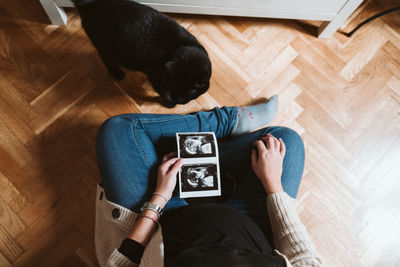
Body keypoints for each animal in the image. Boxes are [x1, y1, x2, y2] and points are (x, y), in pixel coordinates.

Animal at [71, 0, 211, 107]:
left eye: (188, 93)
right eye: (178, 90)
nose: (179, 101)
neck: (179, 46)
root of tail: (89, 4)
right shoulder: (156, 76)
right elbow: (163, 91)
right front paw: (169, 103)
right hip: (105, 48)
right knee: (107, 60)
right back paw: (118, 74)